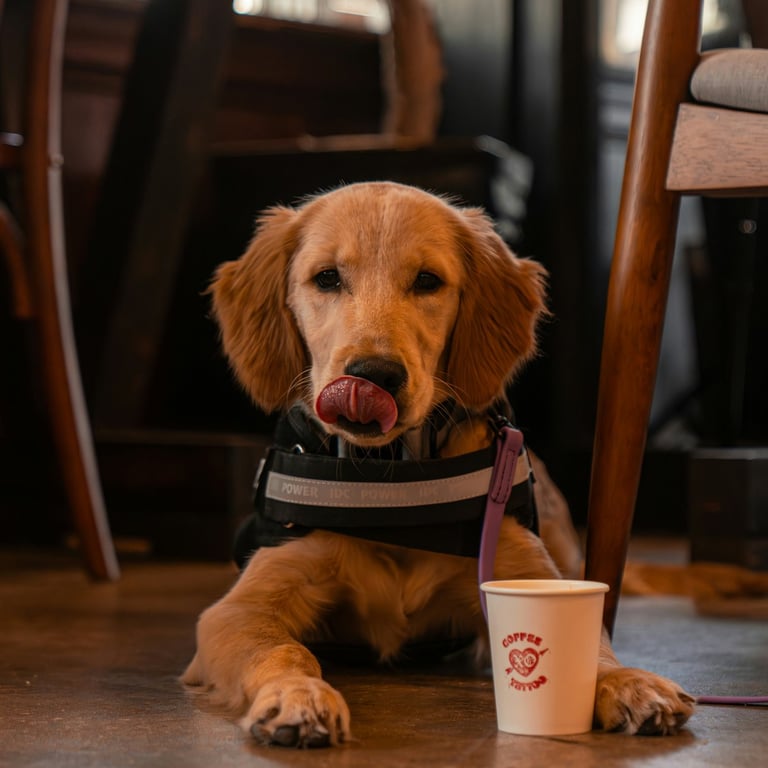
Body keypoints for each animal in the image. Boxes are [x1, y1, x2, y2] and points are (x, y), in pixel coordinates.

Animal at [182, 181, 695, 746]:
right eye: (327, 278)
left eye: (428, 281)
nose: (375, 374)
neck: (391, 475)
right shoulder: (237, 610)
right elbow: (284, 649)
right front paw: (296, 695)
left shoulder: (525, 577)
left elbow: (591, 640)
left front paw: (629, 681)